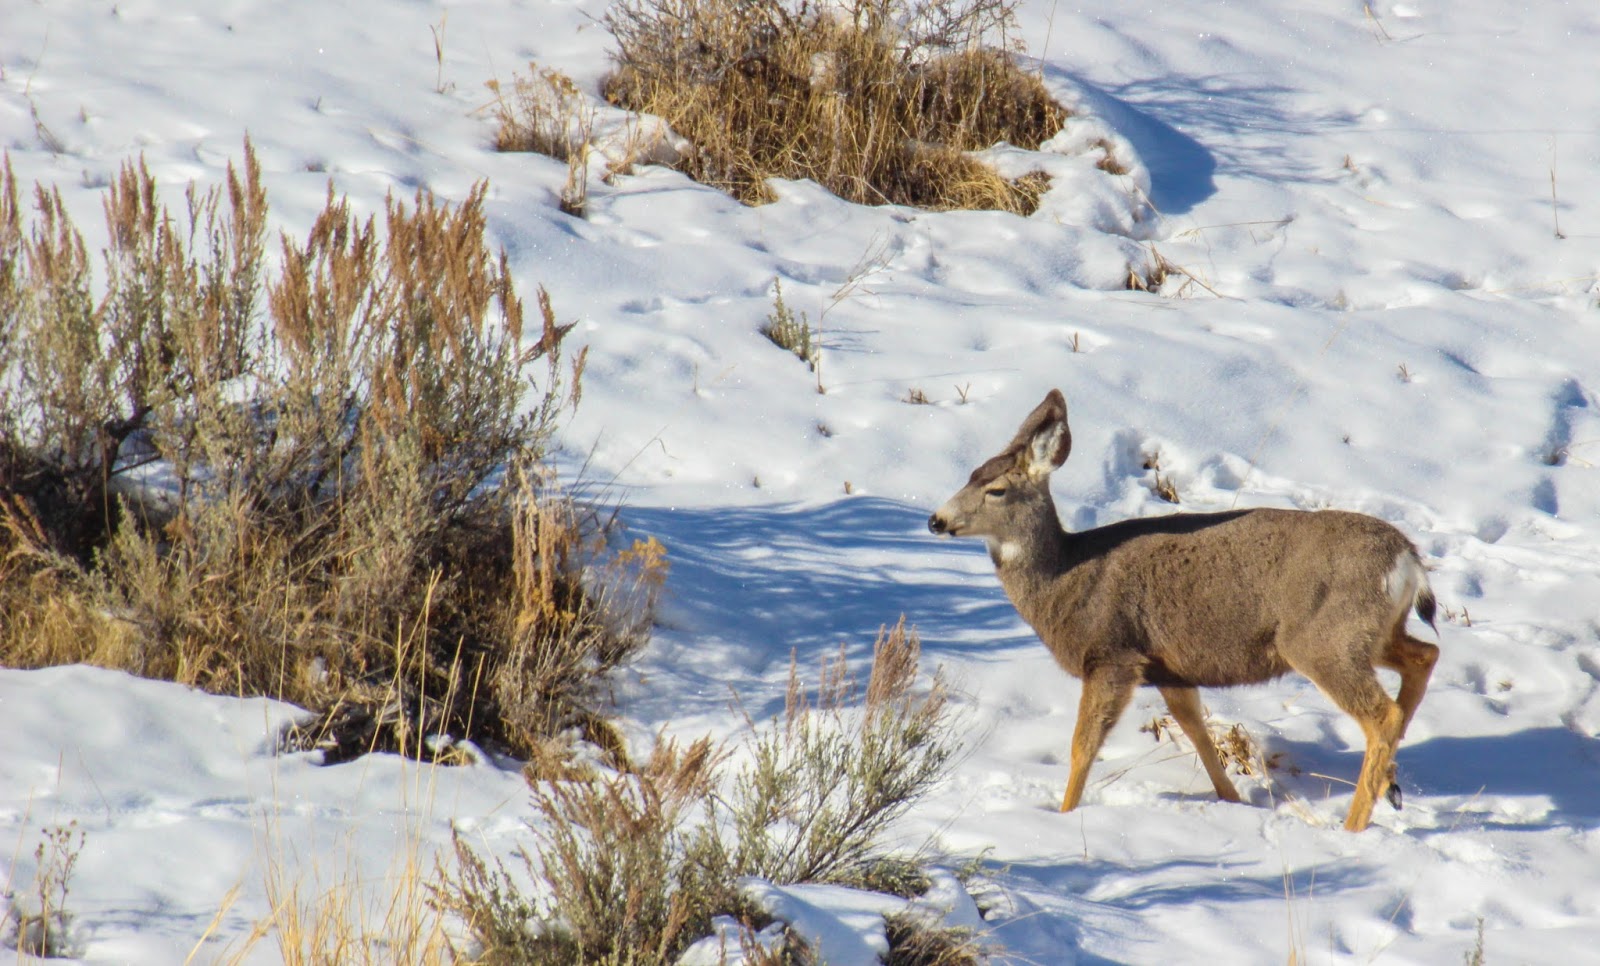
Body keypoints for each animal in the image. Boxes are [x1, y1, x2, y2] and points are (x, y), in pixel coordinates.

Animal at [928, 389, 1439, 831]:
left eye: (996, 490)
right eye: (970, 473)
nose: (936, 519)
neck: (1065, 579)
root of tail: (1407, 559)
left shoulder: (1113, 653)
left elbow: (1082, 746)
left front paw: (1063, 814)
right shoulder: (1170, 668)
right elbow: (1197, 732)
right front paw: (1230, 801)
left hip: (1321, 640)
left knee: (1382, 713)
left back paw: (1354, 824)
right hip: (1371, 632)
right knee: (1423, 657)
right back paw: (1391, 784)